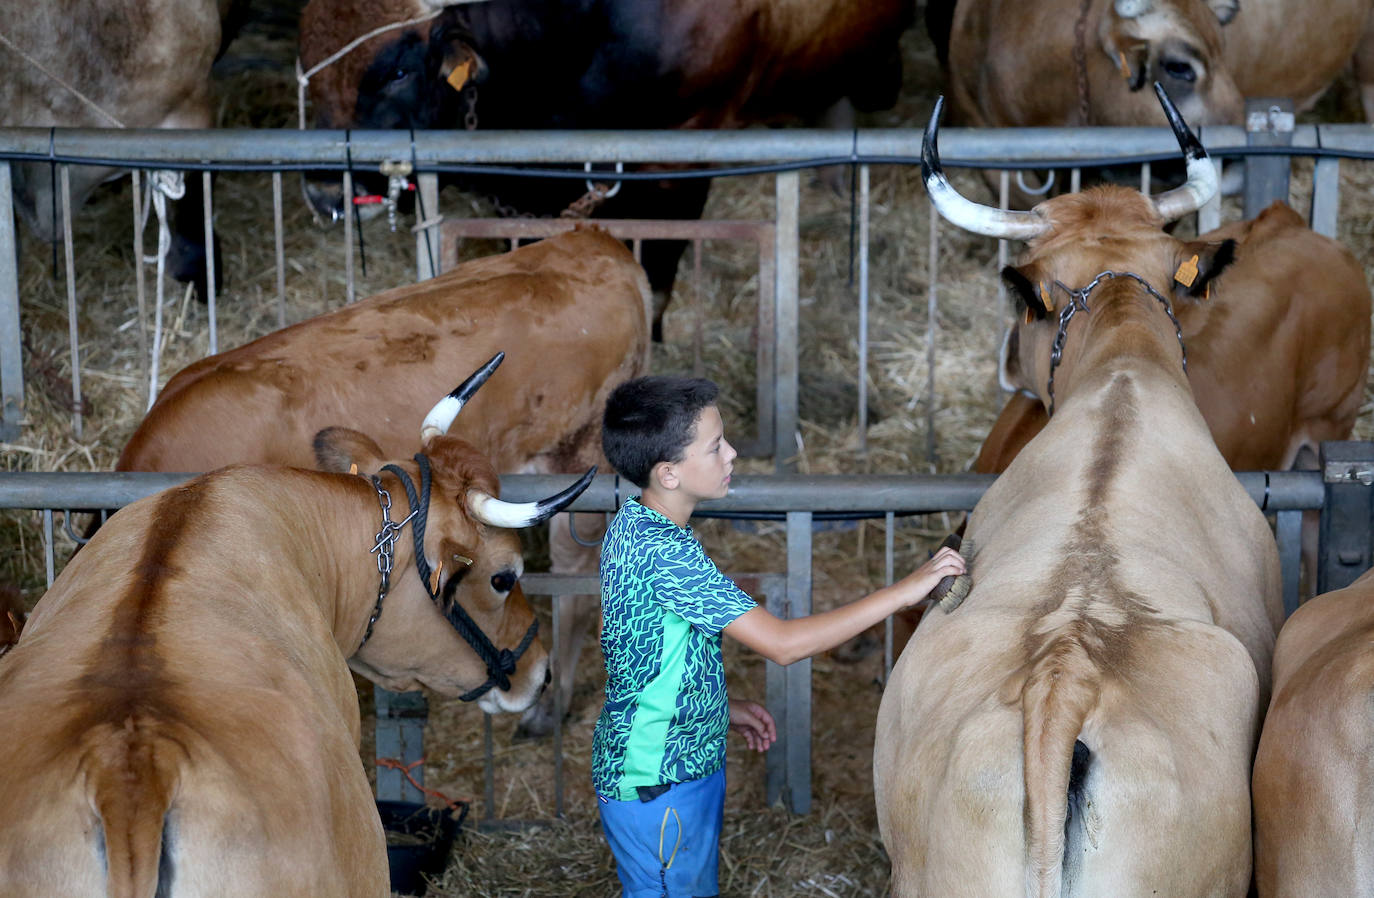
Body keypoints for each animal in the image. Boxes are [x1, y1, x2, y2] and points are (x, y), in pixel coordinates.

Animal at [112, 229, 648, 741]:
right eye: (501, 580)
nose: (535, 676)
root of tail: (596, 240)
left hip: (580, 463)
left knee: (577, 592)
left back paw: (548, 712)